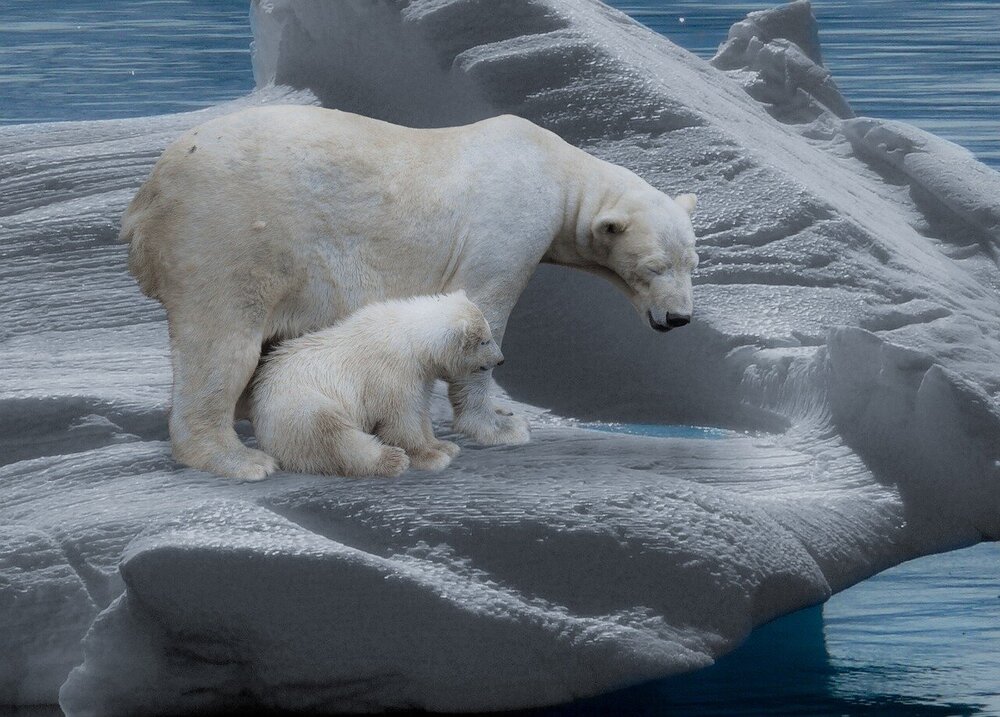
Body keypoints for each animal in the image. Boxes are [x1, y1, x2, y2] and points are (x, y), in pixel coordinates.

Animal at [250, 291, 503, 478]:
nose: (501, 360)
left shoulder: (420, 375)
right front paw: (430, 457)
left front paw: (443, 445)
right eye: (485, 341)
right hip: (300, 405)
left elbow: (420, 410)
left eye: (489, 333)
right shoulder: (391, 374)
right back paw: (392, 459)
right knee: (334, 436)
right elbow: (400, 419)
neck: (410, 338)